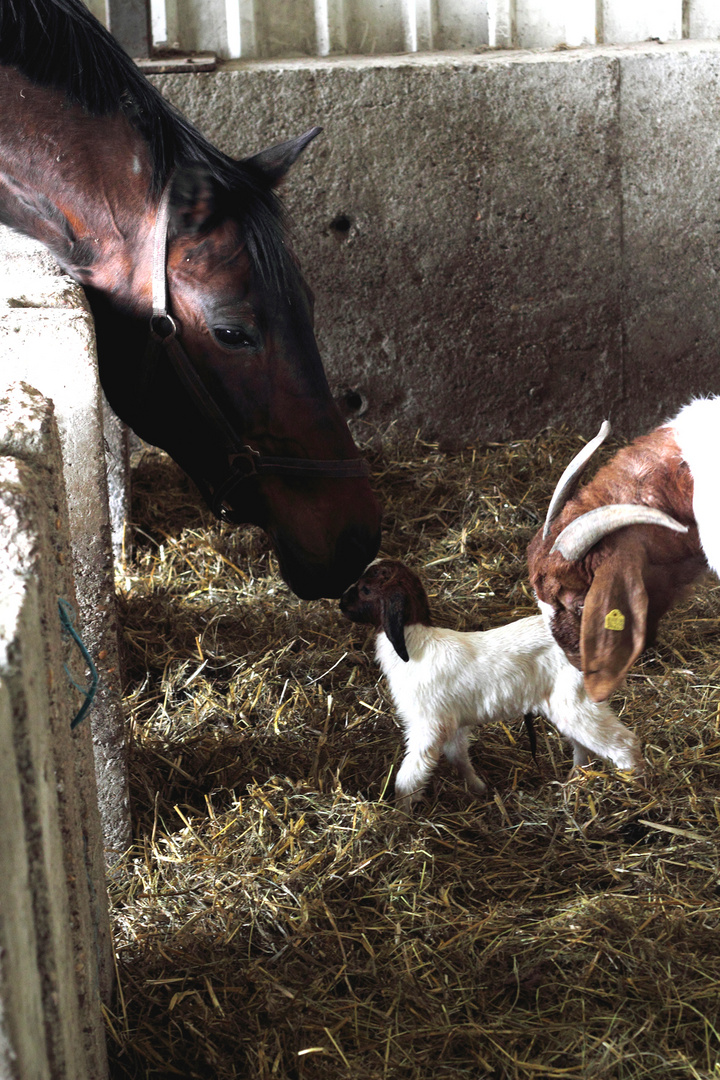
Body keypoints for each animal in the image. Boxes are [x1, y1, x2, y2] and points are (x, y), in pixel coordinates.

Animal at [338, 561, 643, 807]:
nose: (341, 604)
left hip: (577, 704)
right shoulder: (453, 725)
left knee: (623, 742)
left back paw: (632, 783)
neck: (412, 646)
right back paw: (573, 782)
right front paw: (478, 789)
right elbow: (459, 758)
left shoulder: (428, 725)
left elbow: (411, 774)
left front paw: (402, 814)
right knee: (583, 746)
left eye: (366, 589)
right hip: (567, 707)